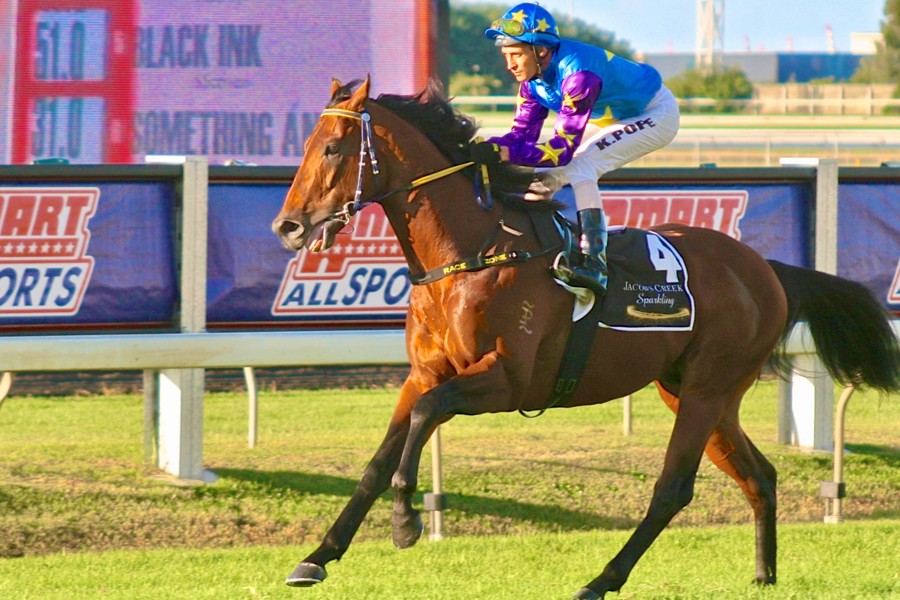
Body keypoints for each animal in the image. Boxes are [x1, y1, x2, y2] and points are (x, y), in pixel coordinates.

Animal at [271, 76, 900, 599]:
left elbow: (425, 419)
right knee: (759, 474)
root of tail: (766, 268)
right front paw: (317, 557)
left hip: (706, 390)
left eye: (333, 148)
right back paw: (764, 573)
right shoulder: (425, 372)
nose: (288, 226)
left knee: (673, 488)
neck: (473, 253)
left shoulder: (507, 381)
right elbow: (378, 461)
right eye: (308, 145)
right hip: (696, 392)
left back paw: (601, 581)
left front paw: (406, 522)